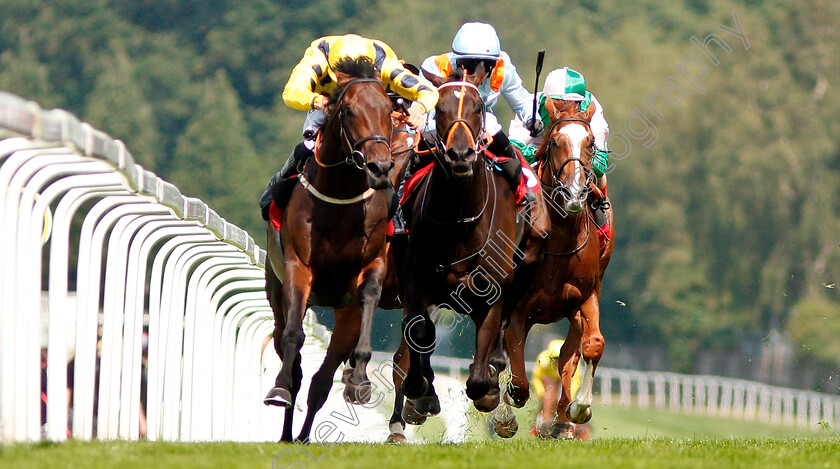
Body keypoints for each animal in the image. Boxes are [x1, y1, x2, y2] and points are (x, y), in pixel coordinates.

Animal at [262, 61, 398, 442]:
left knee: (321, 381)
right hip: (276, 291)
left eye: (389, 111)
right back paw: (287, 428)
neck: (341, 197)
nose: (380, 168)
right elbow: (294, 338)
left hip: (345, 314)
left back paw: (304, 434)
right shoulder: (298, 268)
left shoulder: (372, 264)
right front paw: (279, 389)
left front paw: (360, 380)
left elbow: (370, 293)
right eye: (348, 111)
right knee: (290, 352)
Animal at [498, 98, 616, 438]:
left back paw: (562, 419)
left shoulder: (585, 296)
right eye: (554, 142)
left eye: (591, 143)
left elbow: (591, 346)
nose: (575, 193)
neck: (560, 240)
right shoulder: (517, 306)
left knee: (567, 356)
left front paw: (578, 409)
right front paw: (505, 415)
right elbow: (517, 377)